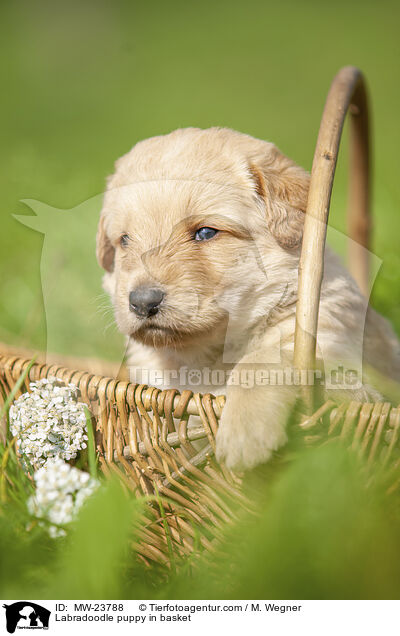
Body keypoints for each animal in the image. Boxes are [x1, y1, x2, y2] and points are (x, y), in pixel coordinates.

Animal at [96, 126, 400, 470]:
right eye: (125, 240)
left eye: (206, 233)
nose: (142, 302)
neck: (209, 353)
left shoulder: (323, 332)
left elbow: (261, 357)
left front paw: (245, 436)